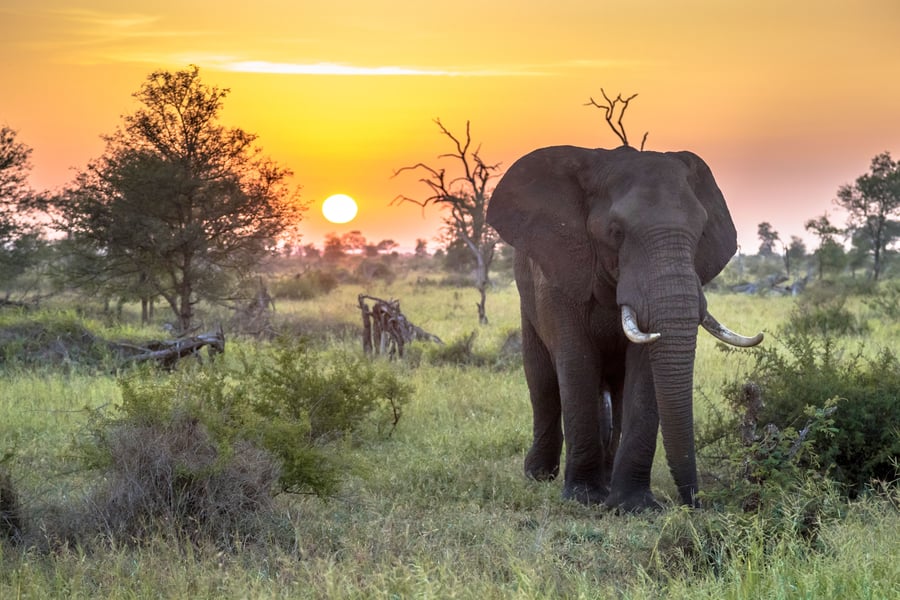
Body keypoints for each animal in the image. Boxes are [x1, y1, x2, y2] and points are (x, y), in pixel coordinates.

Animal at [486, 145, 763, 511]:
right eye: (616, 232)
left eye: (701, 231)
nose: (696, 502)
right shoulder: (560, 274)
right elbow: (576, 361)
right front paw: (584, 498)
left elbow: (644, 371)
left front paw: (633, 506)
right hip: (527, 303)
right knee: (542, 380)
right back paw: (540, 475)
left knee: (614, 392)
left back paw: (606, 479)